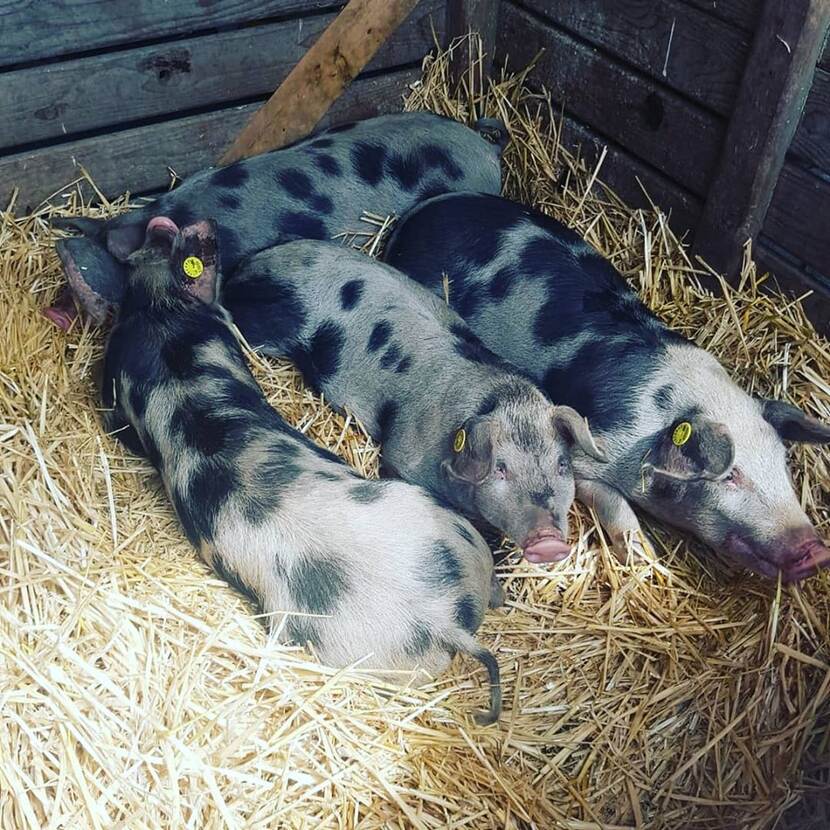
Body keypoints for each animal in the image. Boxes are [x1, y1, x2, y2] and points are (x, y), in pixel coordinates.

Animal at [384, 194, 830, 584]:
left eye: (783, 464)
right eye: (731, 476)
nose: (816, 551)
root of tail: (419, 214)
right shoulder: (591, 449)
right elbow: (616, 505)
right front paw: (646, 562)